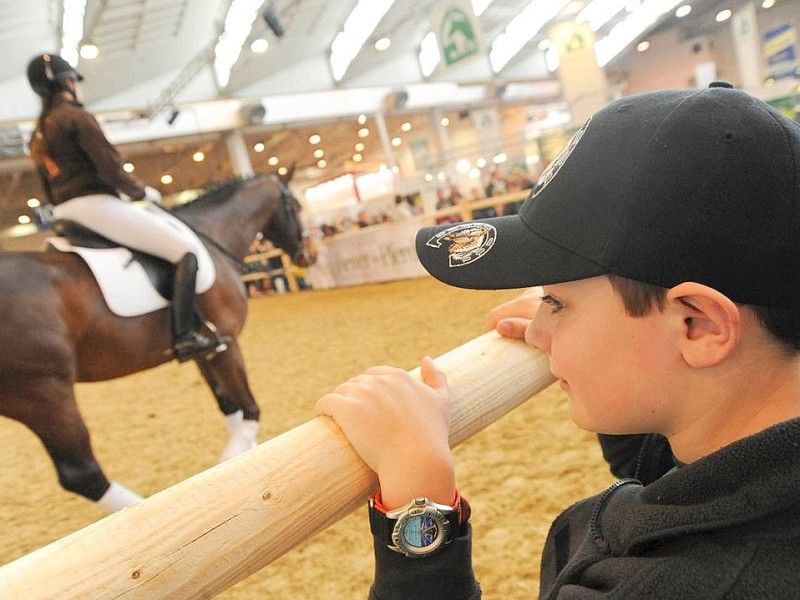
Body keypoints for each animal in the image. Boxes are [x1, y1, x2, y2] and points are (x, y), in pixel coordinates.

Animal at [0, 172, 314, 510]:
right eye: (295, 205)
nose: (309, 256)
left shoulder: (206, 349)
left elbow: (229, 405)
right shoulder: (227, 345)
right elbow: (250, 409)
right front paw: (236, 459)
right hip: (44, 392)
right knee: (82, 474)